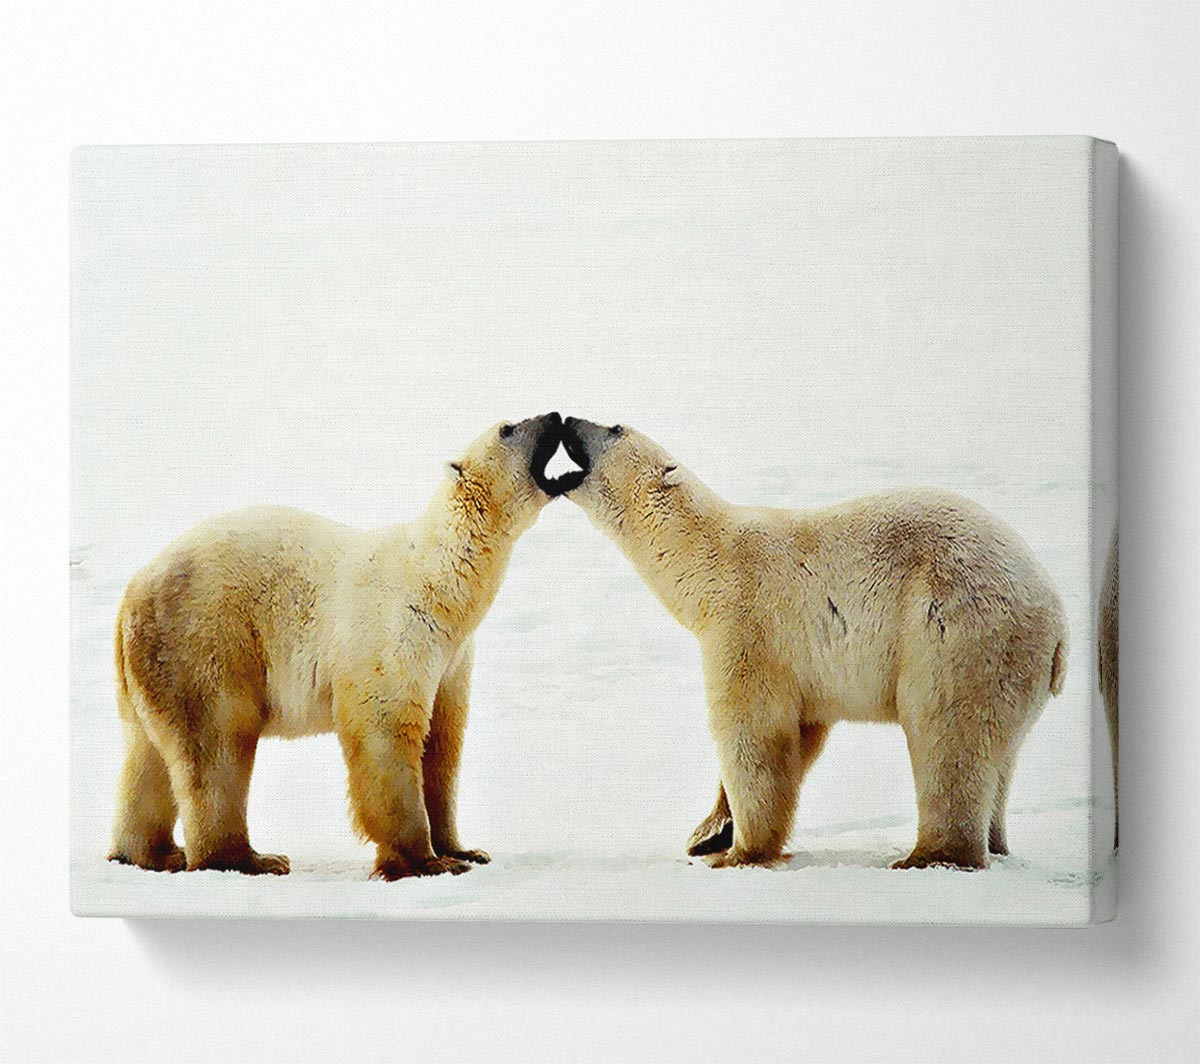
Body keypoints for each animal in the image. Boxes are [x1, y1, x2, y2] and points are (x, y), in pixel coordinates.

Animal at [107, 412, 577, 880]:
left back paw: (150, 852)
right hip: (206, 638)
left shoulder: (453, 658)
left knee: (146, 756)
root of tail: (132, 593)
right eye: (509, 428)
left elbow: (443, 743)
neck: (439, 583)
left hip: (152, 665)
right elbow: (388, 731)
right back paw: (248, 859)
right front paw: (426, 861)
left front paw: (464, 849)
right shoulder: (393, 632)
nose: (555, 416)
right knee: (216, 744)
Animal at [559, 416, 1069, 871]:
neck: (709, 559)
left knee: (948, 736)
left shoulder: (749, 626)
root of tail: (1058, 622)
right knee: (1000, 756)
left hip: (957, 632)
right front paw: (708, 832)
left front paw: (738, 852)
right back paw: (995, 842)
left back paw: (928, 855)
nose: (567, 420)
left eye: (613, 428)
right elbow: (801, 733)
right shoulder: (802, 666)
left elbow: (754, 736)